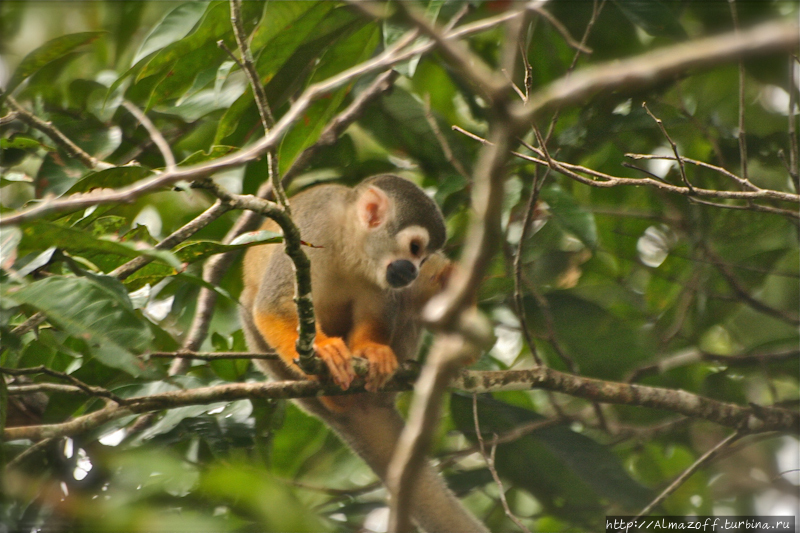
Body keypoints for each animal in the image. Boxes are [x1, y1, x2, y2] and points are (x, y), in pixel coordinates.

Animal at [238, 174, 488, 528]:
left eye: (423, 257)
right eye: (415, 248)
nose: (414, 269)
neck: (347, 242)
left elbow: (377, 312)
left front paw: (373, 352)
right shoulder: (309, 230)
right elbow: (271, 307)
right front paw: (323, 349)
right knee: (250, 304)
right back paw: (330, 395)